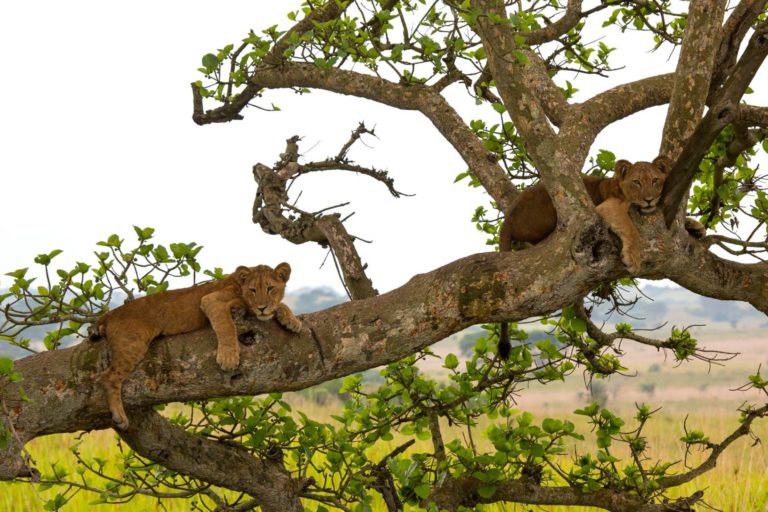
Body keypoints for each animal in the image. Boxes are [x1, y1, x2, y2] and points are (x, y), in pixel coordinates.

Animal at [90, 263, 302, 430]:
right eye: (253, 290)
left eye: (270, 288)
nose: (262, 307)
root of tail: (110, 314)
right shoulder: (211, 300)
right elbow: (226, 325)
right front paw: (228, 358)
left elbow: (280, 305)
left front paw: (292, 321)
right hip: (132, 344)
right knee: (109, 377)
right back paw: (120, 417)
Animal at [496, 156, 705, 358]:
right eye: (636, 182)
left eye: (655, 180)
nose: (649, 200)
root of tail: (508, 219)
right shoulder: (610, 207)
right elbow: (630, 229)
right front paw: (633, 258)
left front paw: (696, 226)